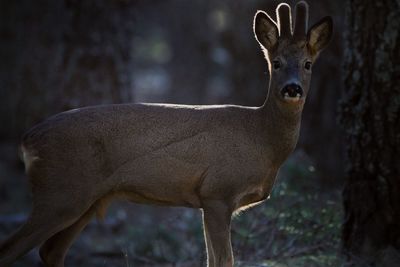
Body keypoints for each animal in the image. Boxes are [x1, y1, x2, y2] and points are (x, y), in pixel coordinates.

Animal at [0, 1, 332, 266]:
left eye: (307, 64)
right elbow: (223, 260)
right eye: (276, 63)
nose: (292, 88)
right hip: (60, 193)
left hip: (85, 200)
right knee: (12, 248)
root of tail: (27, 140)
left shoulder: (209, 201)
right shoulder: (217, 192)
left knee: (51, 251)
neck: (261, 138)